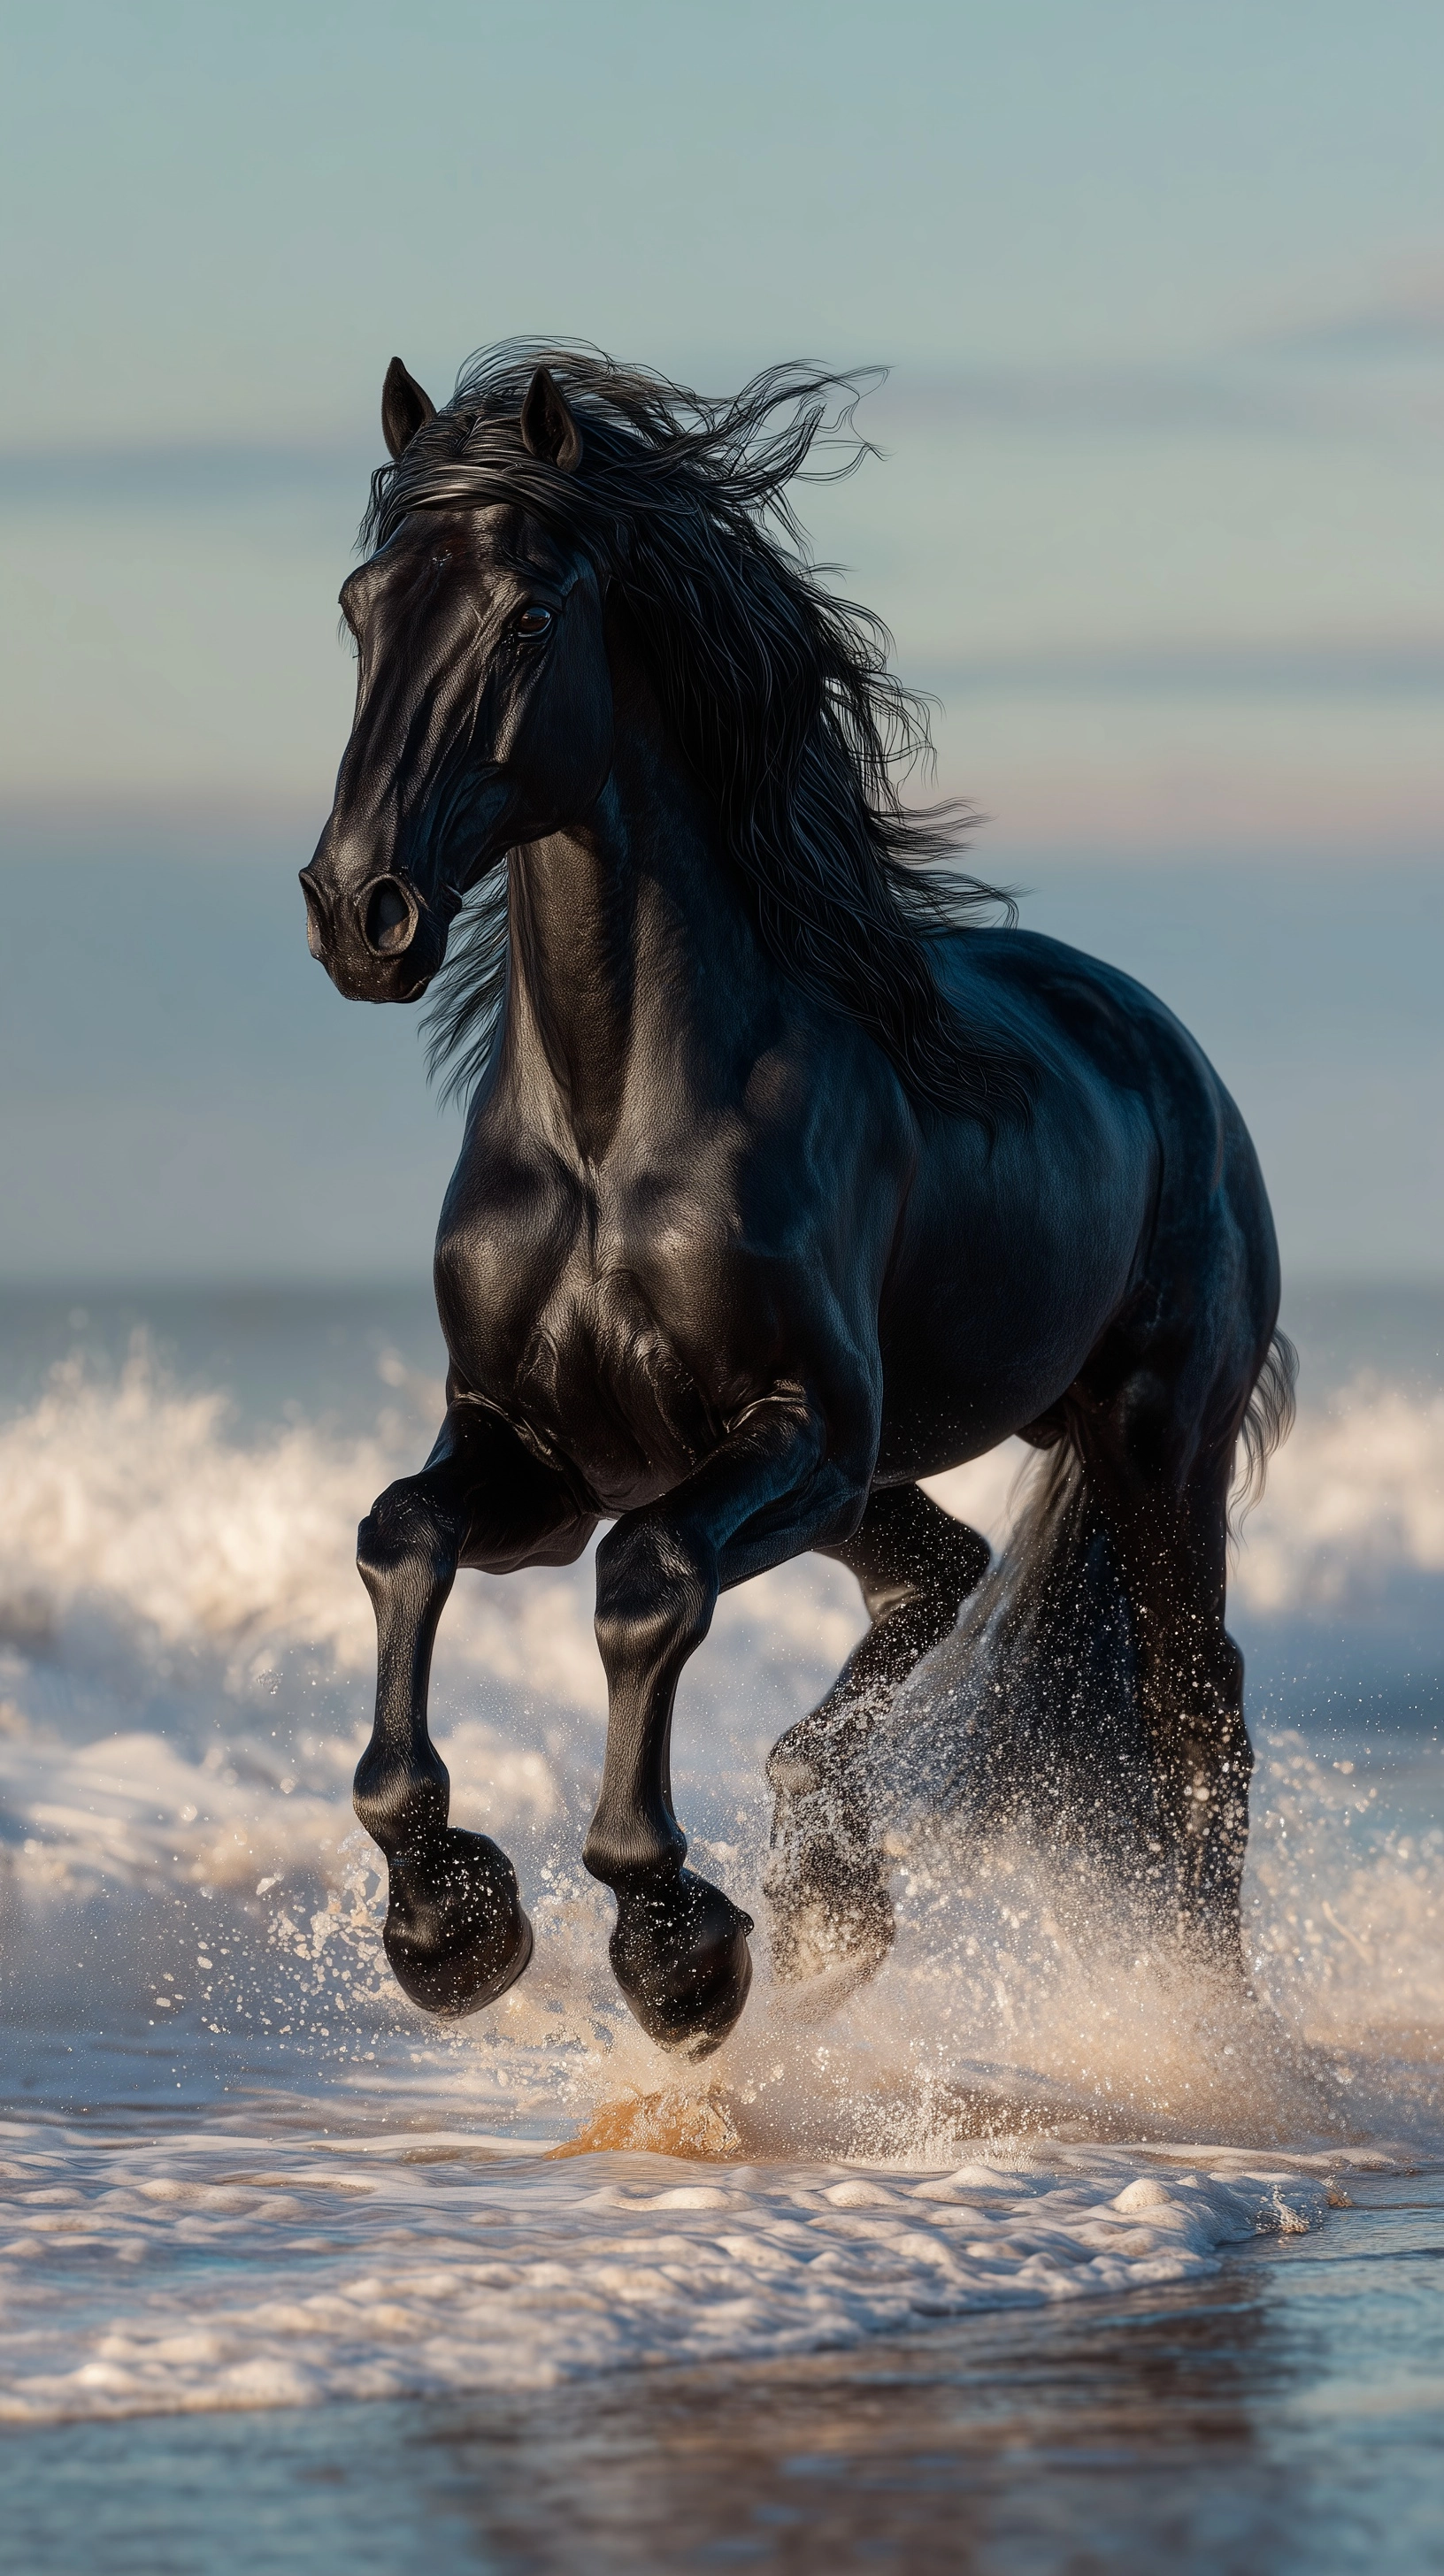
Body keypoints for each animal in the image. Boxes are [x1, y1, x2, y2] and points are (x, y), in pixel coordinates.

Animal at [299, 342, 1293, 2059]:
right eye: (363, 605)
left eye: (527, 618)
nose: (362, 911)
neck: (614, 1129)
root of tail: (1169, 1052)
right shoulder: (542, 1451)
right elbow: (400, 1537)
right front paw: (448, 1922)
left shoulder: (790, 1431)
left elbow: (650, 1587)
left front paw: (674, 1949)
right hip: (884, 1473)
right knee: (939, 1573)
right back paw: (836, 1891)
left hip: (1151, 1444)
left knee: (1193, 1717)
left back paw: (1202, 2026)